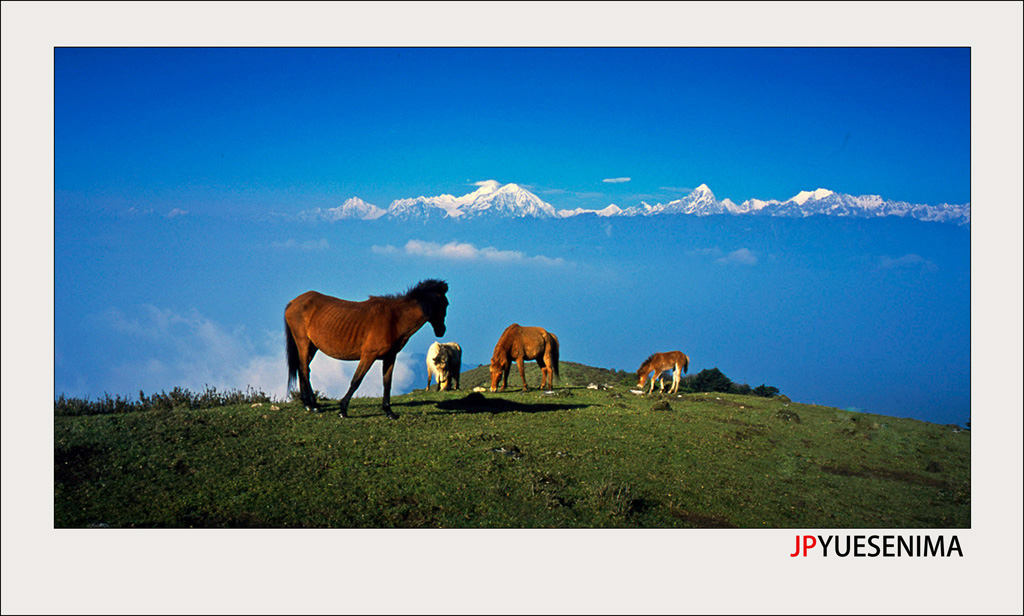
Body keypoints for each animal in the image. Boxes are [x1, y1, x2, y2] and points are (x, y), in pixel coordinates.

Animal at [286, 280, 450, 417]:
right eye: (445, 304)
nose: (442, 331)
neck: (395, 319)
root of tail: (294, 302)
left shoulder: (390, 357)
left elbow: (387, 383)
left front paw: (389, 411)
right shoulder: (368, 355)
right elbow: (356, 380)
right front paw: (343, 409)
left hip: (312, 346)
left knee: (302, 368)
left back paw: (308, 404)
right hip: (303, 343)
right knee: (304, 369)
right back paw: (313, 405)